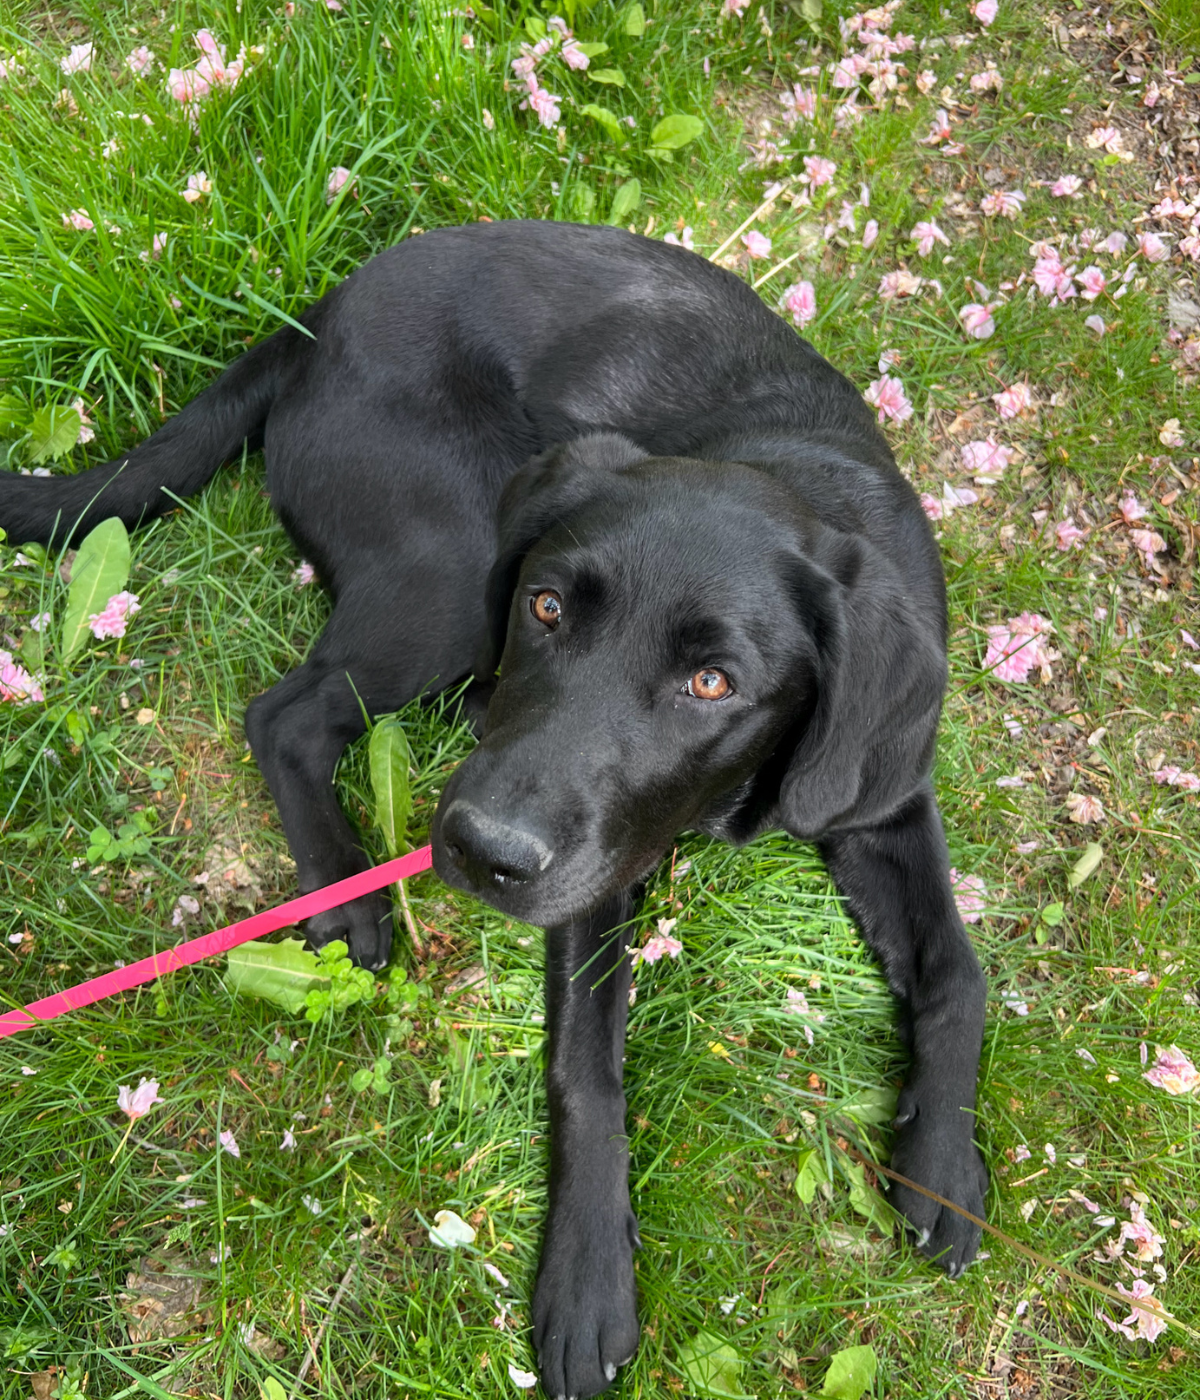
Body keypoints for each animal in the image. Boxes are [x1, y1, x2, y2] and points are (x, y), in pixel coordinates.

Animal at [2, 218, 985, 1400]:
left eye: (714, 683)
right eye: (548, 606)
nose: (480, 851)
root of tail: (321, 315)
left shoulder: (879, 794)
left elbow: (957, 971)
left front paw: (943, 1159)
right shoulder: (590, 870)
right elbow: (587, 1071)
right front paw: (590, 1274)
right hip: (453, 564)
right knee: (285, 715)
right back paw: (345, 888)